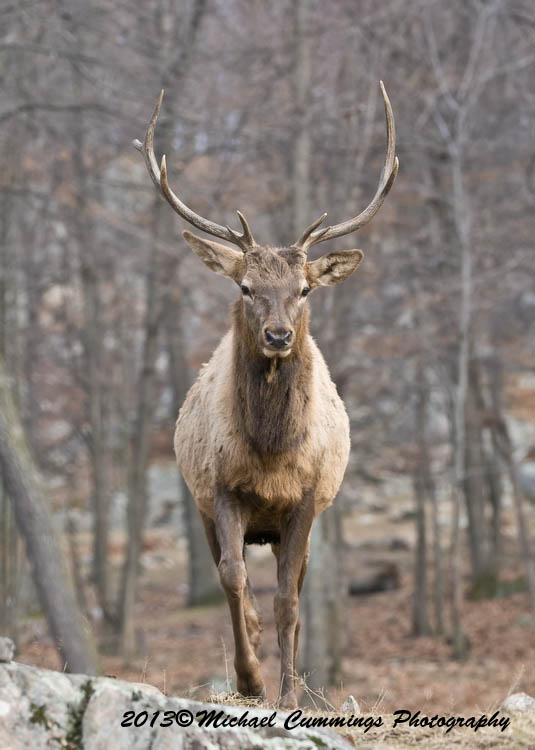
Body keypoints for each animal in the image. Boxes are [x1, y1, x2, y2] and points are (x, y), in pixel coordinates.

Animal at [133, 82, 398, 709]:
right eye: (247, 287)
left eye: (304, 289)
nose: (278, 335)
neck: (273, 452)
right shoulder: (220, 491)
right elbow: (233, 579)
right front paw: (249, 678)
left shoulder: (306, 501)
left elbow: (290, 602)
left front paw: (289, 696)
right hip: (205, 508)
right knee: (236, 577)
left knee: (291, 592)